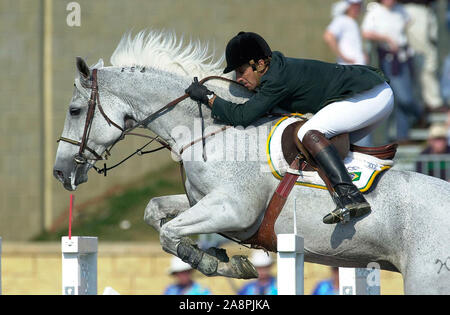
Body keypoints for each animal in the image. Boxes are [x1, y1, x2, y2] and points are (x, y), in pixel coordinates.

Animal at [53, 30, 450, 296]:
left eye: (74, 110)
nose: (60, 172)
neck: (210, 130)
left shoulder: (233, 209)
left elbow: (170, 232)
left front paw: (210, 260)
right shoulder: (203, 201)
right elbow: (155, 211)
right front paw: (218, 257)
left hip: (427, 280)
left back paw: (351, 205)